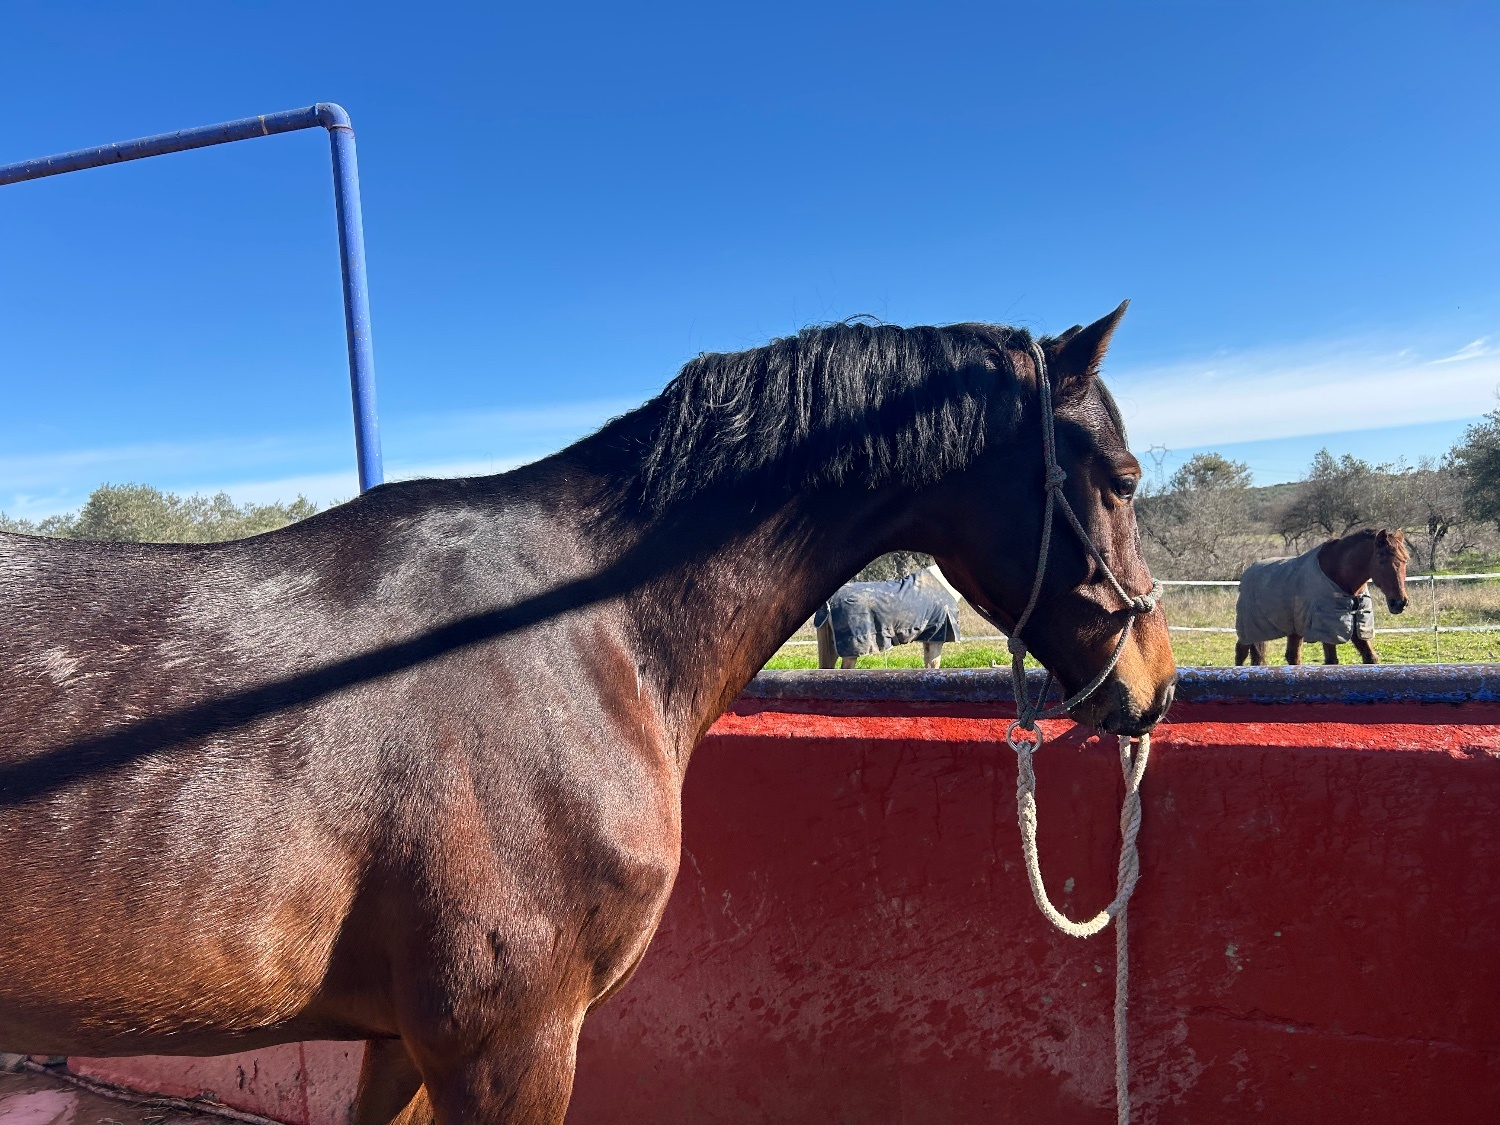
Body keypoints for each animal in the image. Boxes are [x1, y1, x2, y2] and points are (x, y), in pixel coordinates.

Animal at [1233, 528, 1409, 666]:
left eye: (1405, 560)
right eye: (1381, 560)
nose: (1399, 602)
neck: (1338, 576)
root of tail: (1248, 572)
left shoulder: (1357, 629)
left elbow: (1370, 658)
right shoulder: (1327, 630)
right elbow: (1331, 661)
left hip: (1293, 630)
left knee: (1292, 656)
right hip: (1249, 629)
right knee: (1240, 652)